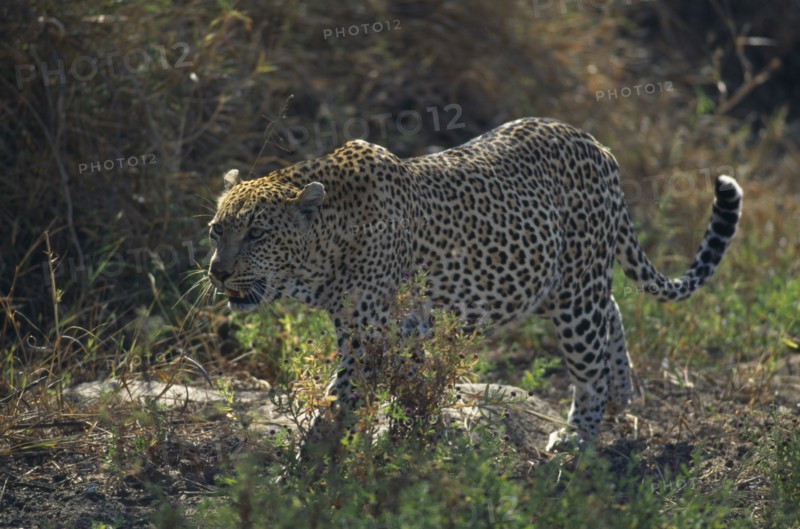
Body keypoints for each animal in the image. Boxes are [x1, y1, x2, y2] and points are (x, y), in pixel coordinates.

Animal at [206, 117, 743, 451]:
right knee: (611, 310)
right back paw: (624, 390)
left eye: (256, 234)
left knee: (589, 360)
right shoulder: (403, 330)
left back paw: (579, 434)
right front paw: (413, 439)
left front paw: (308, 465)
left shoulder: (367, 336)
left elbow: (339, 401)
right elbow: (411, 389)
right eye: (216, 230)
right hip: (545, 280)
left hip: (575, 289)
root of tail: (595, 143)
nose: (217, 272)